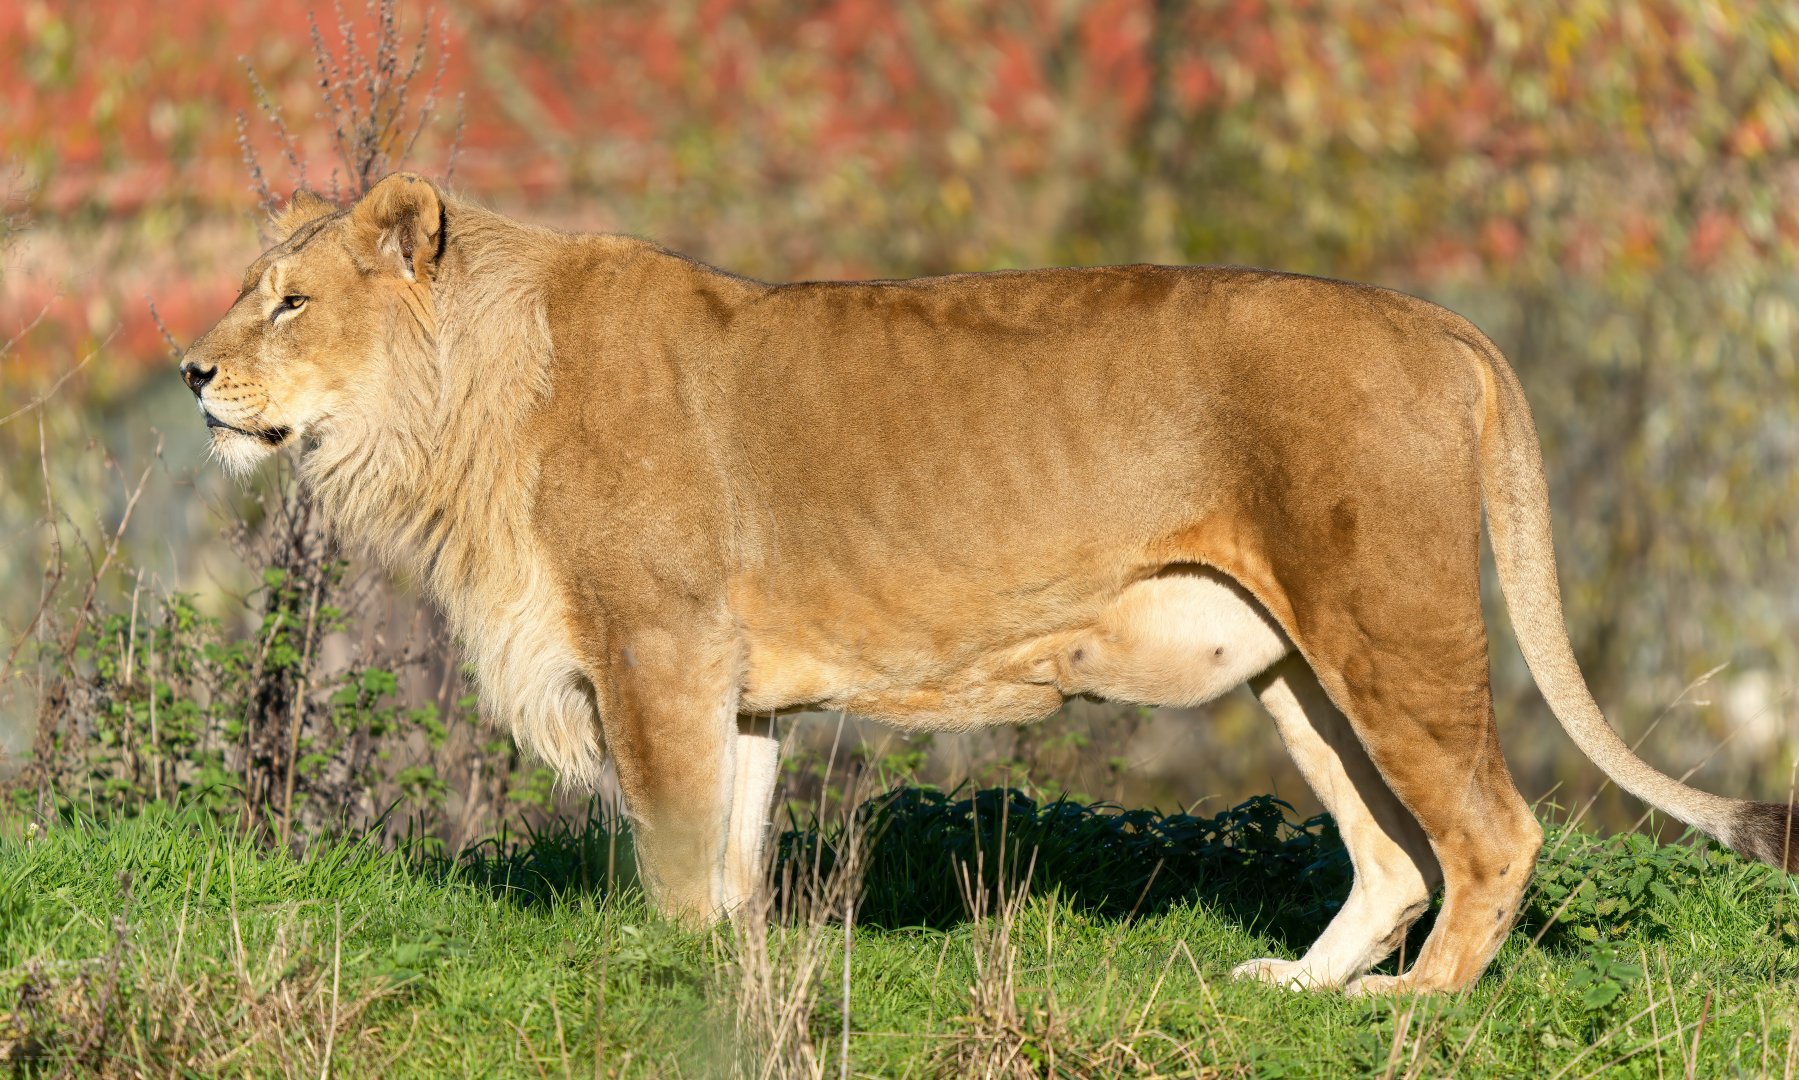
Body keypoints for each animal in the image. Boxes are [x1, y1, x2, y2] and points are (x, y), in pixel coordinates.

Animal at [182, 173, 1797, 994]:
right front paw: (743, 979)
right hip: (1292, 662)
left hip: (1383, 622)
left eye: (289, 300)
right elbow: (733, 854)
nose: (192, 373)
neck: (466, 404)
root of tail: (1435, 321)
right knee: (1395, 855)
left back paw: (1414, 1014)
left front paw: (672, 978)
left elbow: (673, 852)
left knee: (1492, 832)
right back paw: (1296, 994)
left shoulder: (655, 648)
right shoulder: (731, 685)